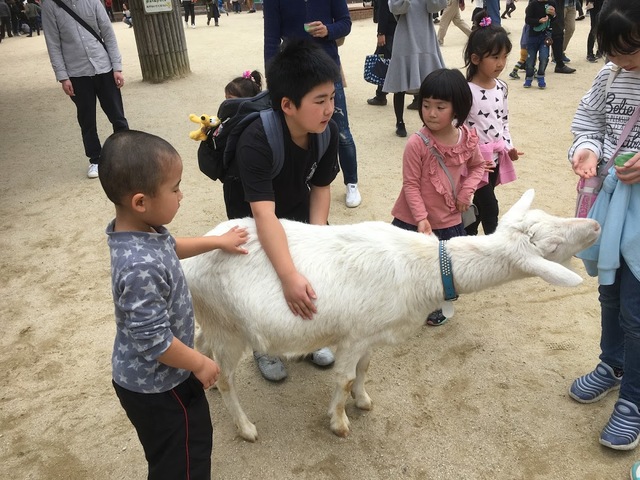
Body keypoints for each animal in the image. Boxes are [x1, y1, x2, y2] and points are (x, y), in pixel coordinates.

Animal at [184, 189, 600, 440]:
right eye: (553, 246)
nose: (596, 224)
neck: (424, 266)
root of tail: (188, 264)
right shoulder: (353, 336)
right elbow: (344, 379)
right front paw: (340, 423)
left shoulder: (370, 333)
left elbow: (363, 371)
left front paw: (364, 401)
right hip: (230, 329)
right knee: (227, 378)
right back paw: (245, 427)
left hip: (215, 319)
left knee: (201, 341)